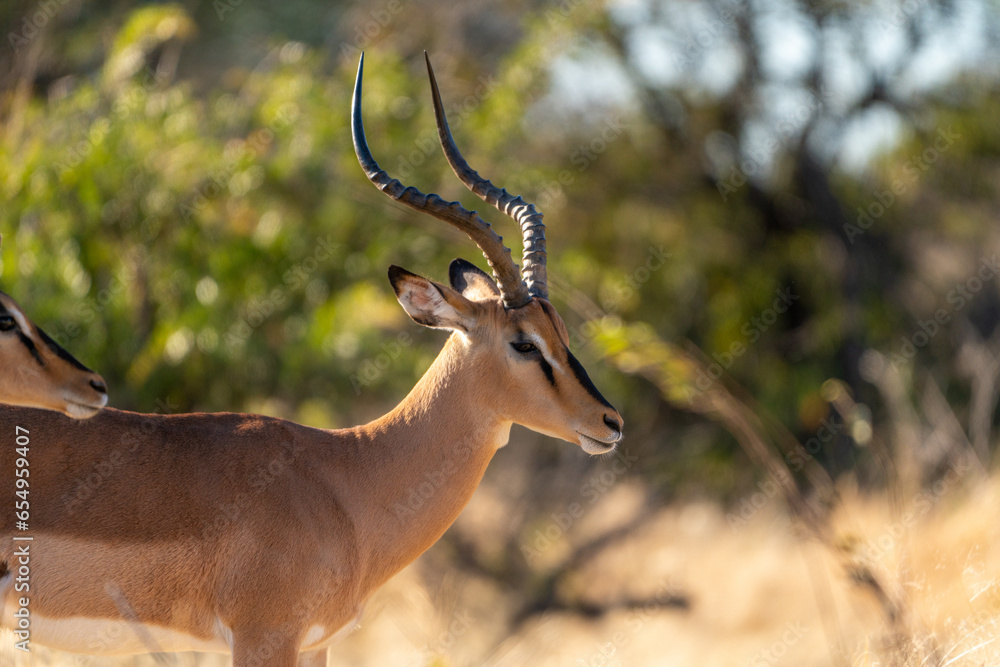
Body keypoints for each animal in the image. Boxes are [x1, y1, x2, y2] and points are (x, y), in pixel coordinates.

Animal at [0, 54, 623, 666]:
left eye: (562, 331)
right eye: (524, 343)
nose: (611, 422)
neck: (347, 478)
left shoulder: (316, 643)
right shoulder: (265, 637)